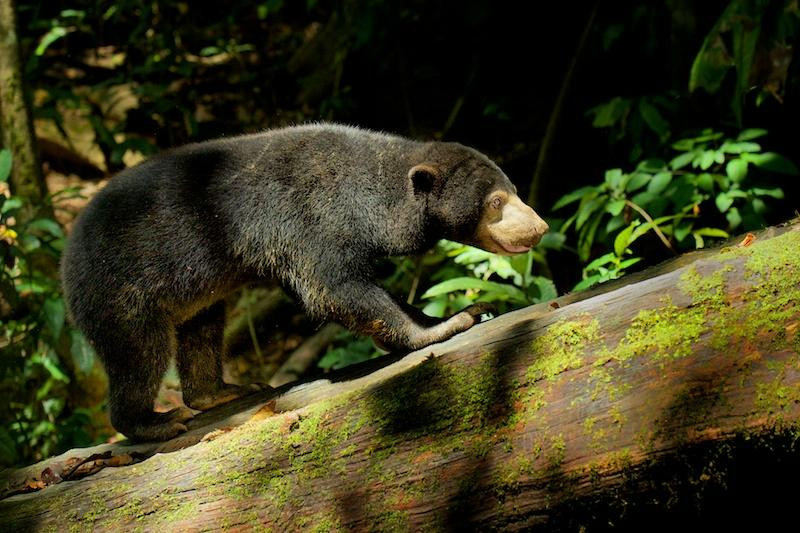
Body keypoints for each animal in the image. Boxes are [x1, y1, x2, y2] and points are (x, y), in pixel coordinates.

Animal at [61, 123, 549, 441]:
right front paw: (443, 326)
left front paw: (458, 312)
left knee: (202, 330)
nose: (540, 227)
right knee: (140, 350)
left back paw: (219, 392)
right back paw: (153, 422)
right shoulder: (310, 218)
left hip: (193, 294)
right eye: (495, 202)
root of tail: (67, 254)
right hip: (121, 286)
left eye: (514, 189)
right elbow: (334, 288)